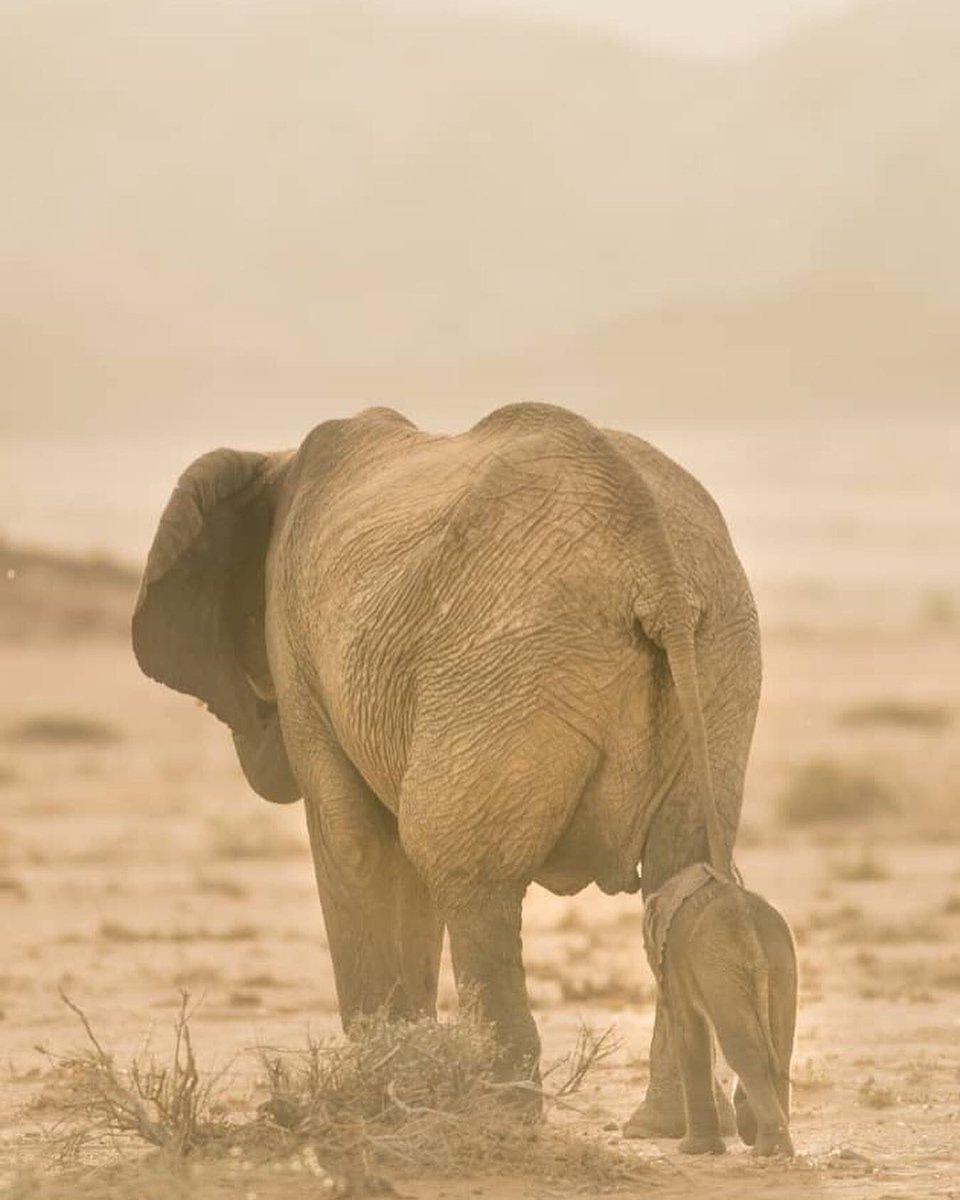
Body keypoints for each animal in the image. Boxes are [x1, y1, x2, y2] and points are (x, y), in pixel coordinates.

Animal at [132, 402, 762, 1134]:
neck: (276, 461)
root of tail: (657, 572)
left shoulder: (301, 650)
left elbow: (357, 845)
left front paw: (381, 1099)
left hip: (509, 666)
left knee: (468, 872)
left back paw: (503, 1119)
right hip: (718, 660)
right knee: (679, 873)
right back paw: (663, 1127)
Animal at [642, 863, 797, 1156]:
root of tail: (747, 926)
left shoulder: (676, 959)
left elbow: (689, 1032)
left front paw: (693, 1150)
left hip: (720, 965)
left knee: (744, 1050)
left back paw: (767, 1149)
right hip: (779, 962)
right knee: (782, 1048)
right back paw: (775, 1146)